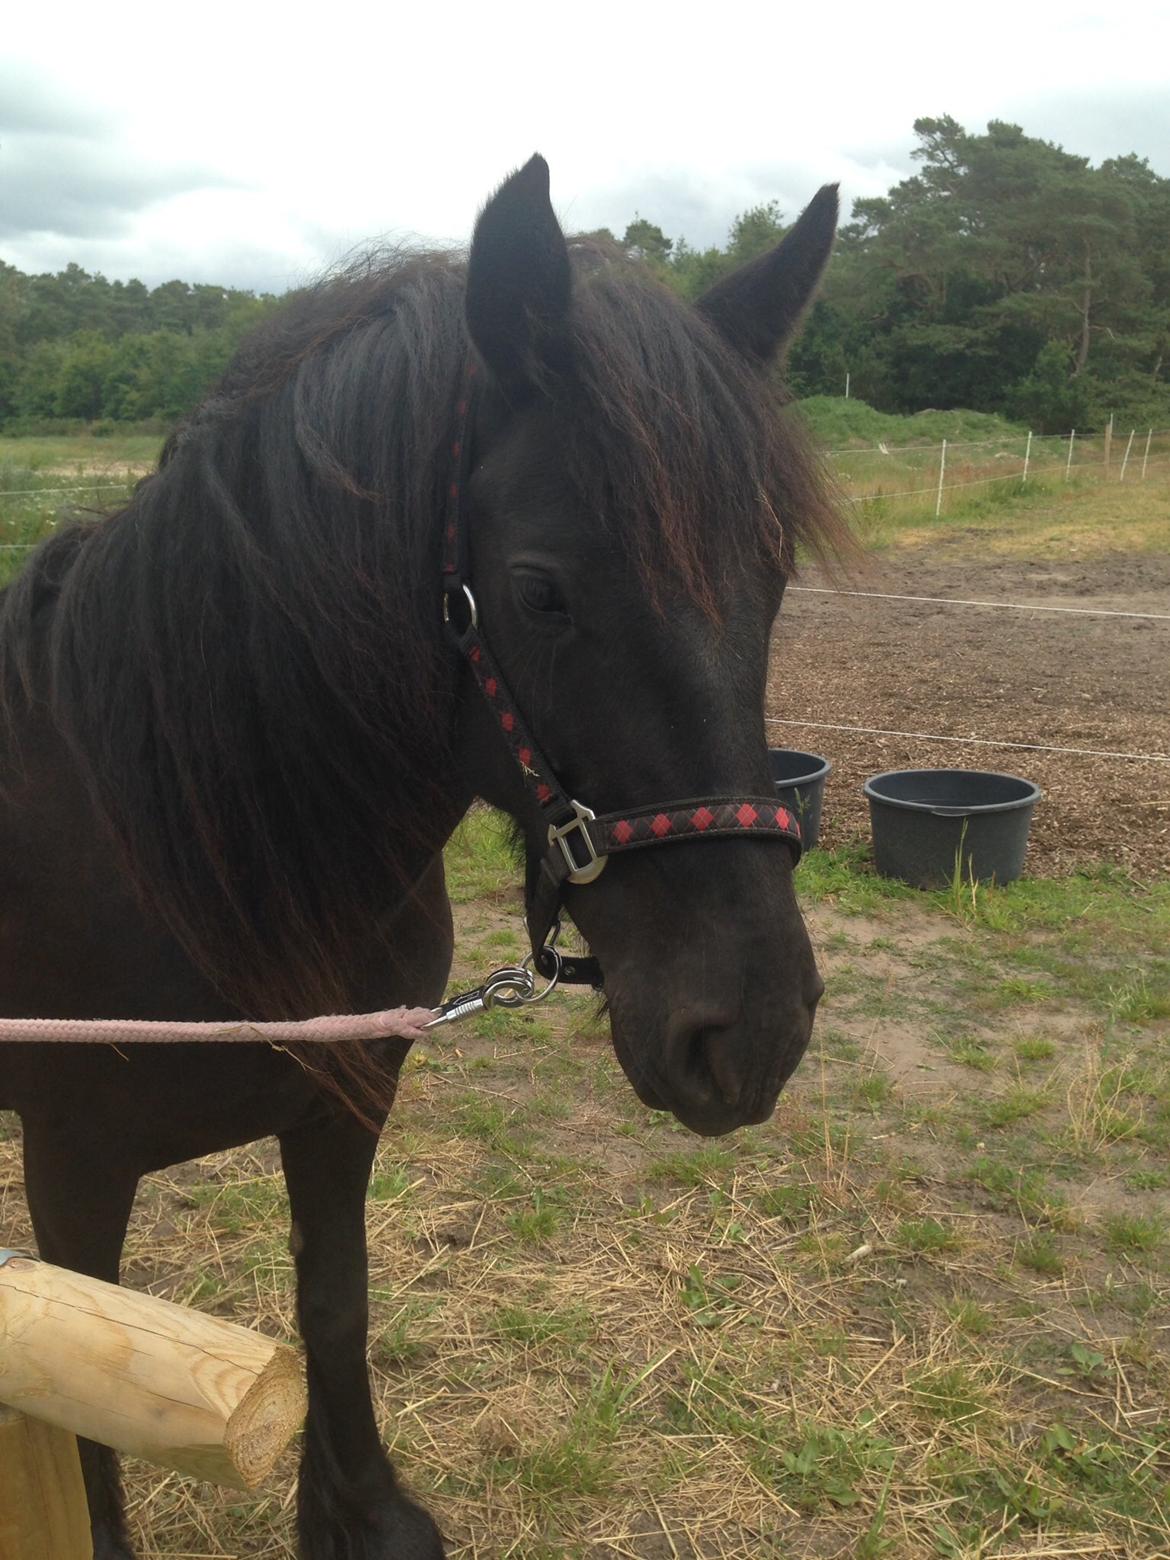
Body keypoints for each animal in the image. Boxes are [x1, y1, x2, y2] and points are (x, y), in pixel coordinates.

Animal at [0, 156, 845, 1558]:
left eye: (772, 580)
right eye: (542, 588)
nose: (752, 1032)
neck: (170, 844)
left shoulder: (345, 1101)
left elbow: (334, 1302)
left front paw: (358, 1510)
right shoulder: (74, 1167)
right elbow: (83, 1422)